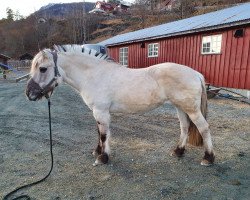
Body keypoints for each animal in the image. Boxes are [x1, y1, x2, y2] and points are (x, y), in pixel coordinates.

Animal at [26, 45, 216, 166]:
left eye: (42, 68)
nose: (29, 93)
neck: (94, 75)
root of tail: (196, 73)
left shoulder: (101, 112)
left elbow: (104, 135)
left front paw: (103, 158)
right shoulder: (97, 112)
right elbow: (99, 132)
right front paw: (97, 151)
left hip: (191, 109)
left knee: (204, 128)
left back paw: (208, 158)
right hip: (180, 107)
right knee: (185, 127)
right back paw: (178, 151)